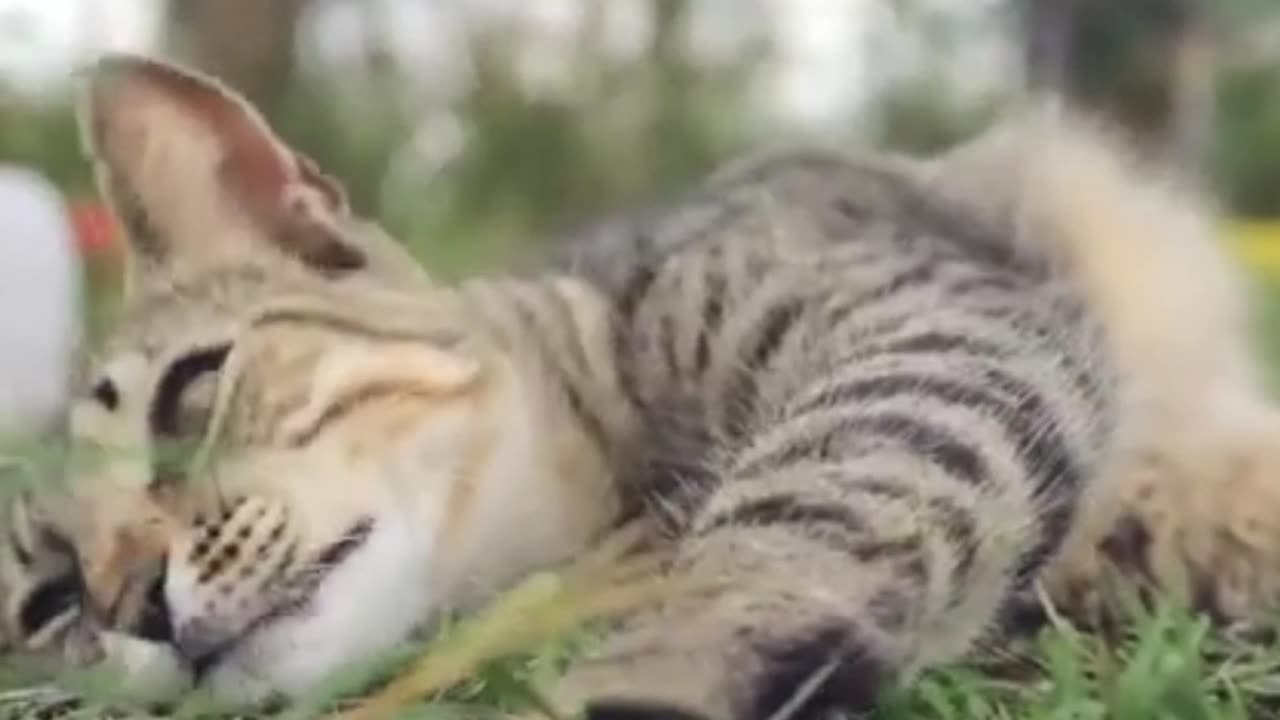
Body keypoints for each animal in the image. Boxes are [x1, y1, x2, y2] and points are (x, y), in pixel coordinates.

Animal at [2, 56, 1280, 717]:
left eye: (189, 395)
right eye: (50, 602)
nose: (132, 603)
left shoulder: (930, 330)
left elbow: (811, 508)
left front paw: (664, 661)